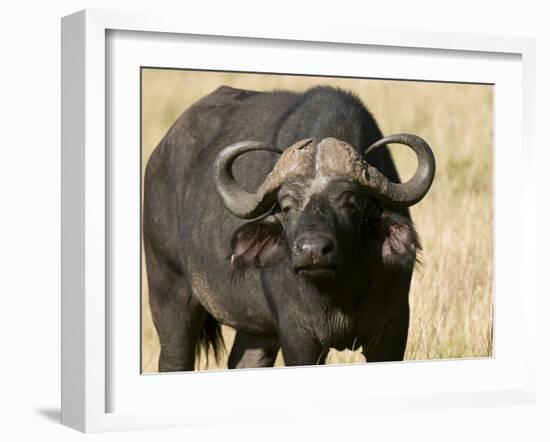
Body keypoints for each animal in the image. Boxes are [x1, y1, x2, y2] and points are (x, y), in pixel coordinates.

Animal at [144, 84, 438, 372]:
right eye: (286, 206)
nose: (312, 251)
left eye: (350, 202)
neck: (341, 288)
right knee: (174, 358)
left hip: (257, 331)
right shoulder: (299, 335)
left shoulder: (392, 328)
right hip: (170, 295)